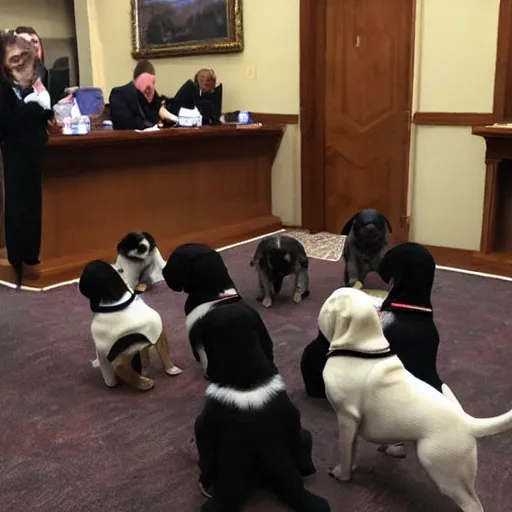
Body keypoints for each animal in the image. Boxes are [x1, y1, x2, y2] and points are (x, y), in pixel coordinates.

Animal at [322, 288, 512, 512]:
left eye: (331, 301)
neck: (362, 347)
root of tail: (469, 423)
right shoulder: (352, 425)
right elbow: (352, 448)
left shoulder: (346, 418)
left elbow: (345, 451)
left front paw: (343, 474)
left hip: (442, 468)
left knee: (471, 504)